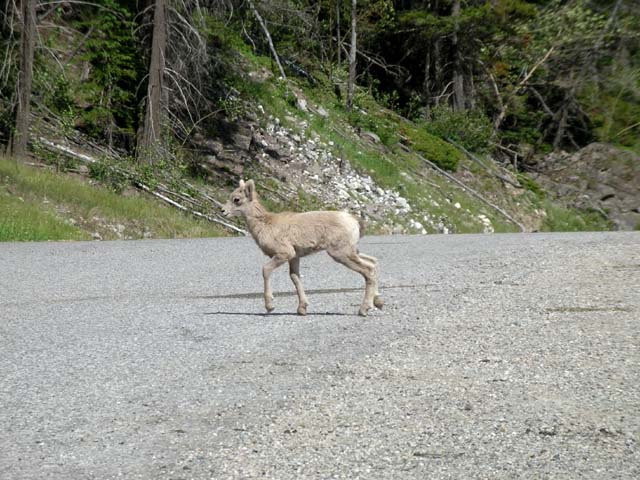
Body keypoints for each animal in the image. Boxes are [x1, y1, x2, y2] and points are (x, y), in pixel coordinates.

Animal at [222, 179, 382, 316]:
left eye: (236, 199)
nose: (223, 211)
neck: (265, 225)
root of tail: (354, 221)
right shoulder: (294, 257)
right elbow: (295, 278)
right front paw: (302, 309)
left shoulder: (284, 253)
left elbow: (266, 270)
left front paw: (270, 306)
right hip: (352, 250)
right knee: (373, 263)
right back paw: (378, 302)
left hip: (341, 252)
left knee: (368, 270)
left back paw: (364, 309)